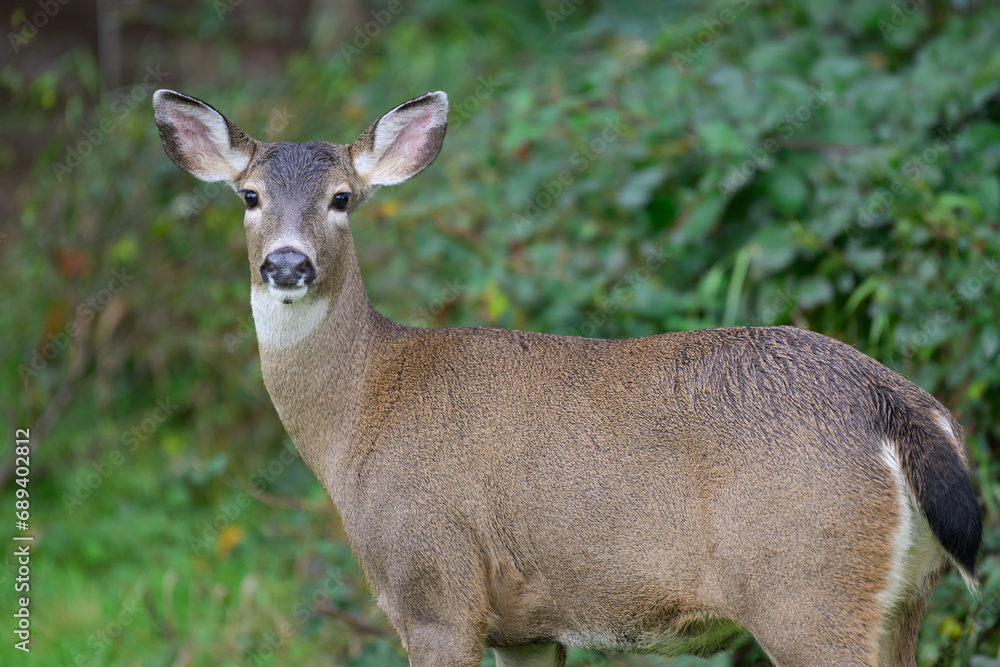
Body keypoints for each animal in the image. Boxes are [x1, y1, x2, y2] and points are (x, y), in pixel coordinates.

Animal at [152, 88, 982, 667]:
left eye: (343, 198)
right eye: (250, 195)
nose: (287, 264)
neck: (362, 408)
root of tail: (903, 408)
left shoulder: (435, 586)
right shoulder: (526, 623)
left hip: (807, 582)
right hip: (904, 598)